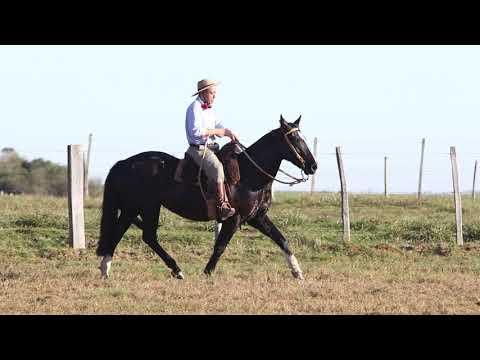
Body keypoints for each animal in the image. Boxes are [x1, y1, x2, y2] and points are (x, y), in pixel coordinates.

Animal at [95, 116, 316, 280]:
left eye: (302, 137)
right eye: (295, 140)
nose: (313, 166)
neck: (249, 174)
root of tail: (124, 163)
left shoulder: (257, 218)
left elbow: (282, 239)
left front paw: (297, 272)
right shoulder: (233, 219)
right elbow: (220, 246)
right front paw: (207, 273)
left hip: (135, 208)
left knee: (126, 233)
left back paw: (107, 270)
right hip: (144, 207)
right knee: (144, 236)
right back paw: (174, 270)